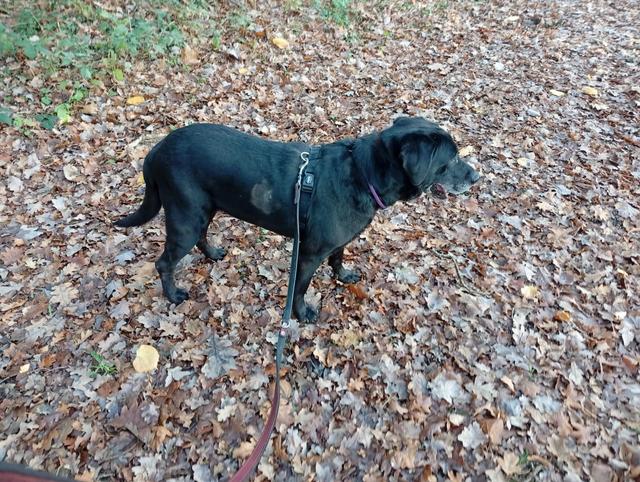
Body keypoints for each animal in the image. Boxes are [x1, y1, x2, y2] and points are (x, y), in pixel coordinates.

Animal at [115, 117, 480, 321]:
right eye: (451, 159)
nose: (477, 176)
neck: (364, 175)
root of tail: (156, 150)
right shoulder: (308, 254)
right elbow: (301, 288)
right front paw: (301, 314)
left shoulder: (336, 243)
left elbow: (339, 259)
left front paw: (343, 276)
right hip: (186, 217)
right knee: (165, 263)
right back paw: (173, 295)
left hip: (203, 210)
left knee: (202, 236)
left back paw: (213, 253)